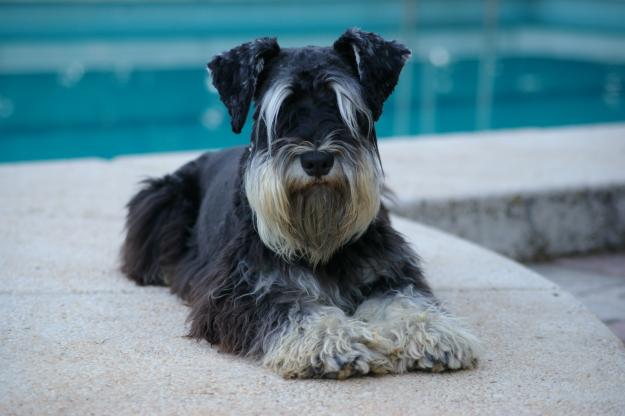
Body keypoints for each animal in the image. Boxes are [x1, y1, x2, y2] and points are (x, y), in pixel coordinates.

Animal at [120, 28, 478, 380]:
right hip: (163, 200)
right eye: (282, 109)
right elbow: (291, 307)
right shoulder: (242, 289)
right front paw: (333, 342)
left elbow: (406, 299)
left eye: (343, 107)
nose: (317, 160)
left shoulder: (387, 270)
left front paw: (433, 333)